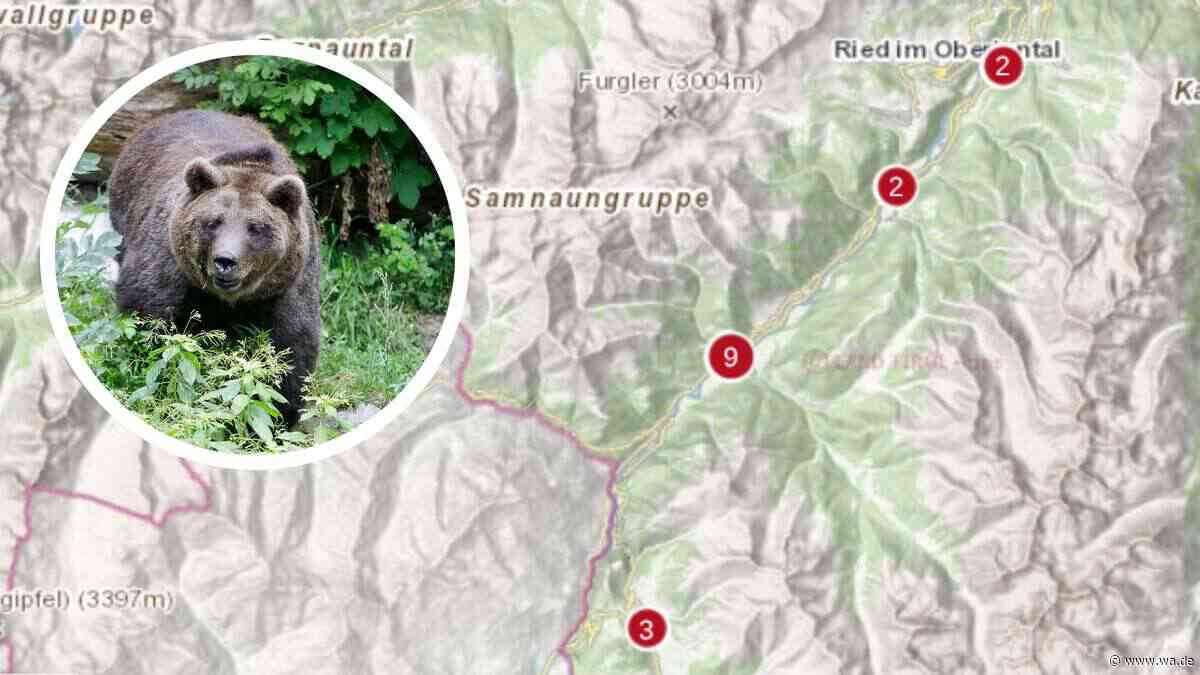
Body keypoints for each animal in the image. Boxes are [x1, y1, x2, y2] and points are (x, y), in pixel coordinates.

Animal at [108, 109, 320, 428]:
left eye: (255, 228)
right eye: (213, 222)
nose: (225, 261)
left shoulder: (288, 283)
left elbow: (291, 347)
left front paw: (275, 414)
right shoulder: (172, 264)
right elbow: (152, 318)